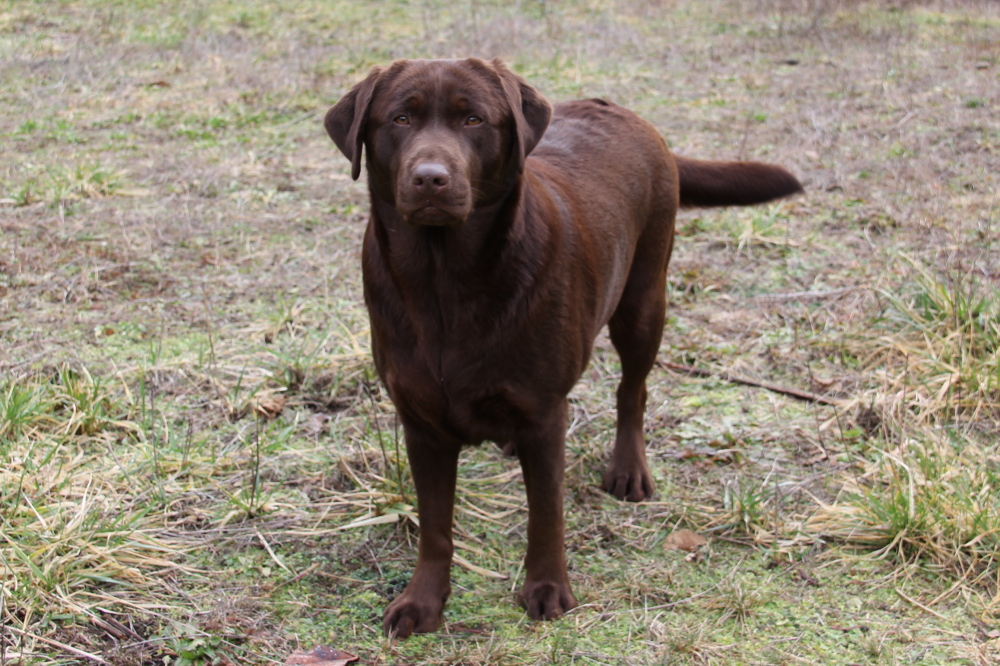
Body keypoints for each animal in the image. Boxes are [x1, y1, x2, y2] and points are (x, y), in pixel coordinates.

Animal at [328, 57, 804, 632]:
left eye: (473, 120)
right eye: (400, 118)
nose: (430, 178)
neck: (445, 283)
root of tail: (619, 109)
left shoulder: (543, 415)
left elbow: (546, 512)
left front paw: (548, 588)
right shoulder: (422, 424)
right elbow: (435, 524)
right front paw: (423, 602)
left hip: (644, 302)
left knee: (632, 392)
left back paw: (628, 470)